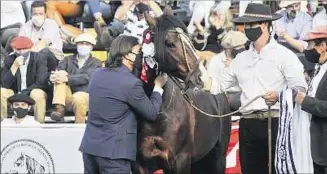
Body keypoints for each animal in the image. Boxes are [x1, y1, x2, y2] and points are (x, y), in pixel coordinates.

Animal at [133, 9, 233, 174]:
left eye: (190, 41)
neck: (155, 110)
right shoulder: (140, 164)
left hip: (219, 156)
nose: (202, 77)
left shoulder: (181, 160)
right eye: (170, 44)